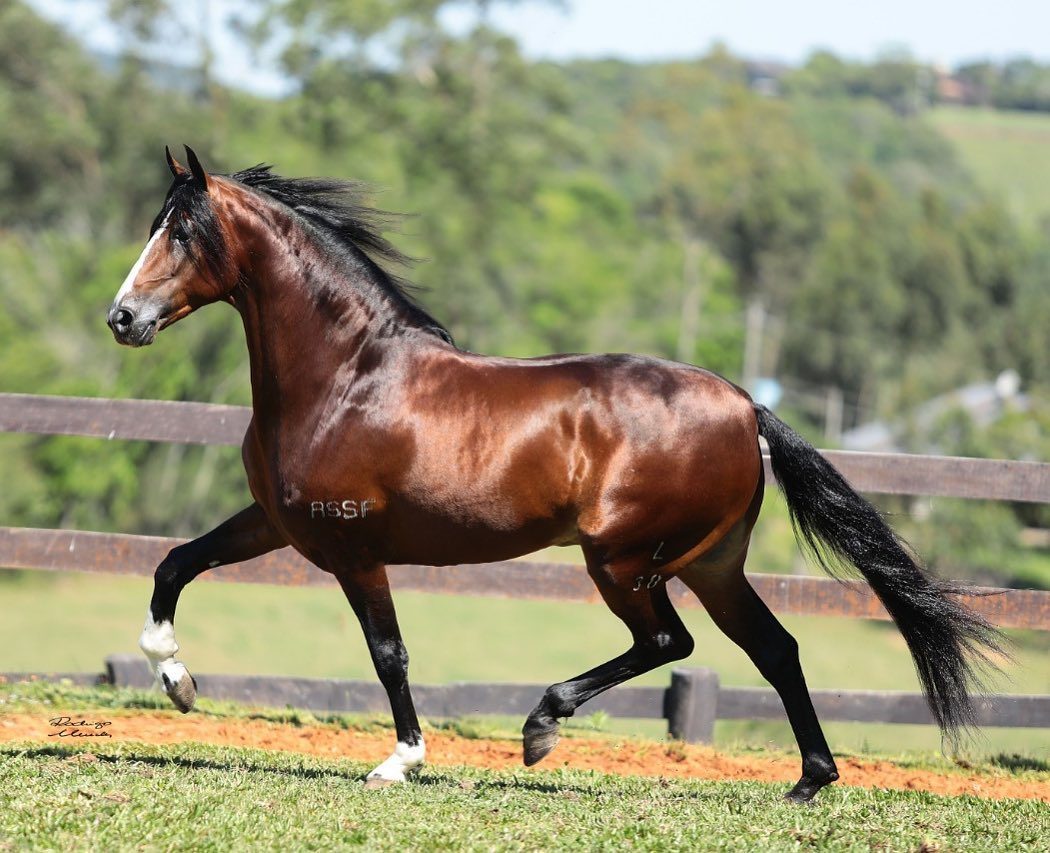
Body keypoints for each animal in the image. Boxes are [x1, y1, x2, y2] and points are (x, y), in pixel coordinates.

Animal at [108, 144, 999, 798]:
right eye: (156, 223)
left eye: (181, 233)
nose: (122, 317)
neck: (346, 375)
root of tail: (746, 405)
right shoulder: (276, 522)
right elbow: (174, 563)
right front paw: (175, 678)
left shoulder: (354, 549)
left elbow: (389, 653)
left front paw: (401, 759)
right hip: (712, 562)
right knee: (775, 648)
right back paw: (810, 781)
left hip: (622, 559)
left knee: (669, 640)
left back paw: (541, 726)